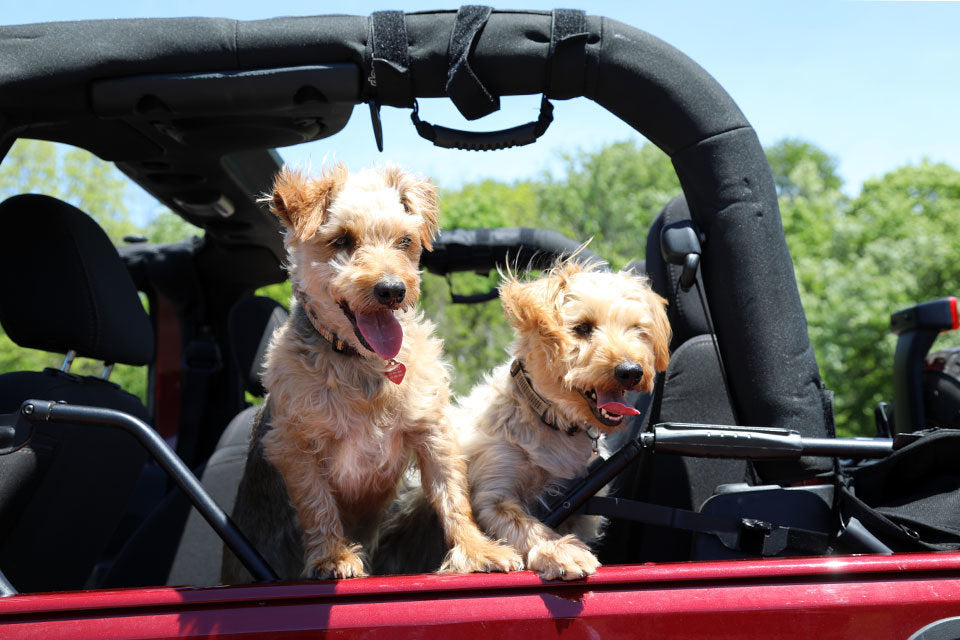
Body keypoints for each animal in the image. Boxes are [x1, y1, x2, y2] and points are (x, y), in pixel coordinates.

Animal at [222, 162, 520, 584]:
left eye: (405, 241)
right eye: (342, 240)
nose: (393, 290)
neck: (363, 363)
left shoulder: (432, 429)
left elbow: (452, 494)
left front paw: (476, 549)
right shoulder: (296, 446)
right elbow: (317, 504)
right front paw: (332, 557)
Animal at [376, 258, 668, 580]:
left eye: (637, 330)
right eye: (582, 328)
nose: (631, 371)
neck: (552, 421)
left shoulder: (582, 509)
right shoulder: (493, 494)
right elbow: (525, 524)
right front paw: (561, 550)